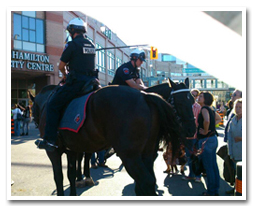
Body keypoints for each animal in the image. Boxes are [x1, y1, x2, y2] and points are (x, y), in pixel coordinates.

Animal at [31, 78, 196, 196]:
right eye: (181, 102)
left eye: (193, 101)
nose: (191, 130)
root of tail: (145, 97)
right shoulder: (71, 150)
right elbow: (69, 175)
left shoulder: (53, 151)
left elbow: (58, 177)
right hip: (143, 154)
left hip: (130, 156)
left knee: (147, 181)